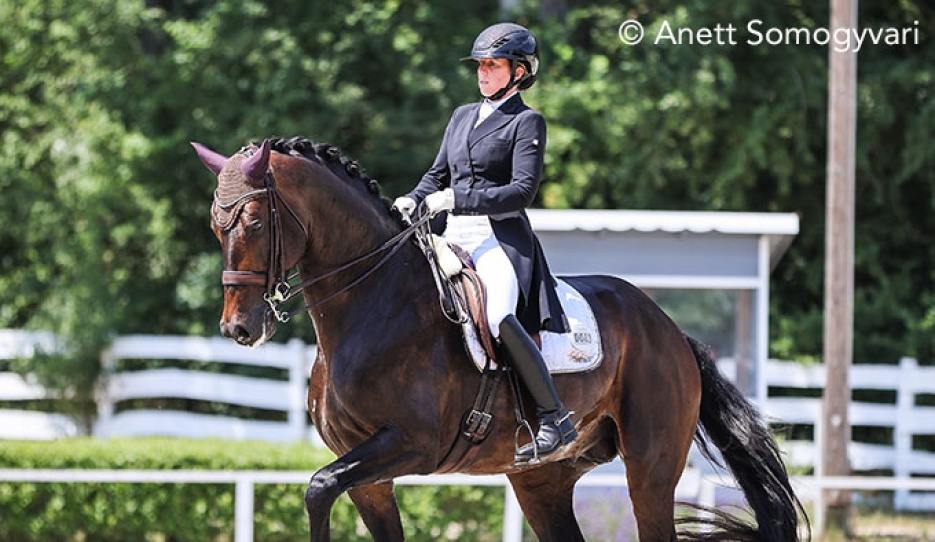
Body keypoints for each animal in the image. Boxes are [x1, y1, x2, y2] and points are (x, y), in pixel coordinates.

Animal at [192, 136, 809, 542]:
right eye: (216, 226)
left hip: (650, 471)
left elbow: (319, 487)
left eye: (253, 223)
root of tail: (671, 331)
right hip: (543, 480)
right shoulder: (368, 471)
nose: (239, 328)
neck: (374, 303)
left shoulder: (411, 445)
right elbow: (328, 490)